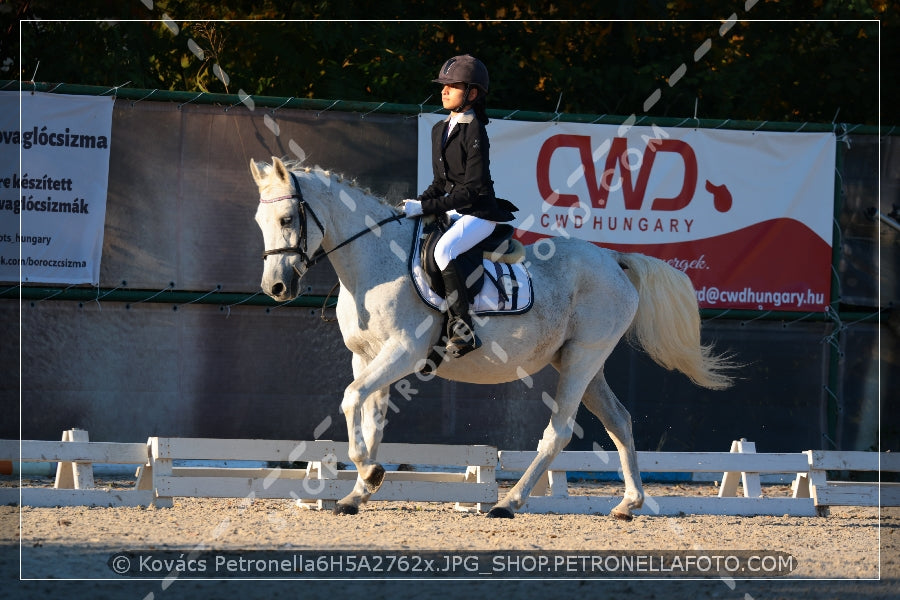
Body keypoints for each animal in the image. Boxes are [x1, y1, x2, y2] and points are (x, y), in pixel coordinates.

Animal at [251, 157, 732, 516]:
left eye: (288, 218)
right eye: (260, 221)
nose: (276, 288)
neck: (373, 263)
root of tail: (614, 260)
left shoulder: (403, 352)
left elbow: (352, 398)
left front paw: (370, 476)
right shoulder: (366, 358)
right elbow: (370, 421)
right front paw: (359, 492)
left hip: (582, 359)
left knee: (559, 431)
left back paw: (509, 502)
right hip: (583, 362)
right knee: (619, 421)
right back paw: (628, 504)